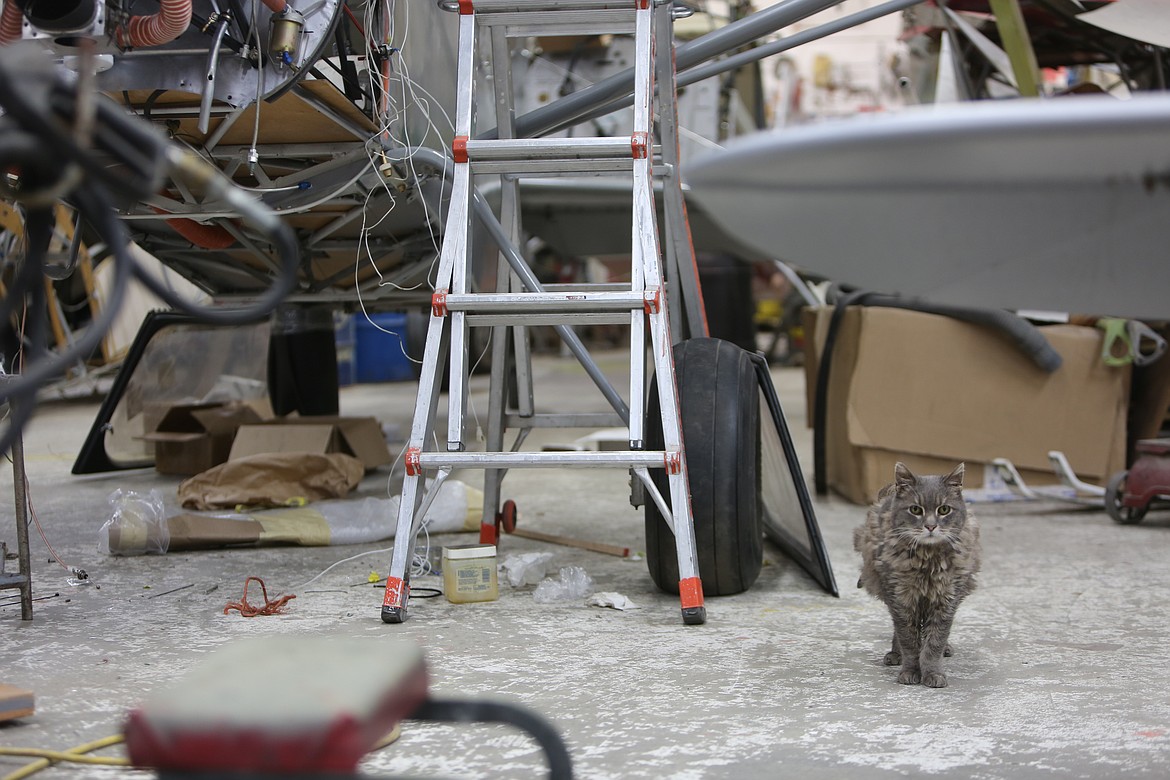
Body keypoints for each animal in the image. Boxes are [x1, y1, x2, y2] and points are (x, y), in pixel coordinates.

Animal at [856, 463, 982, 687]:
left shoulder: (946, 600)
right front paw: (911, 671)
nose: (930, 526)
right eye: (915, 509)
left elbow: (935, 642)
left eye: (944, 509)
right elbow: (908, 641)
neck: (927, 560)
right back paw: (895, 654)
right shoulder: (901, 599)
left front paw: (933, 673)